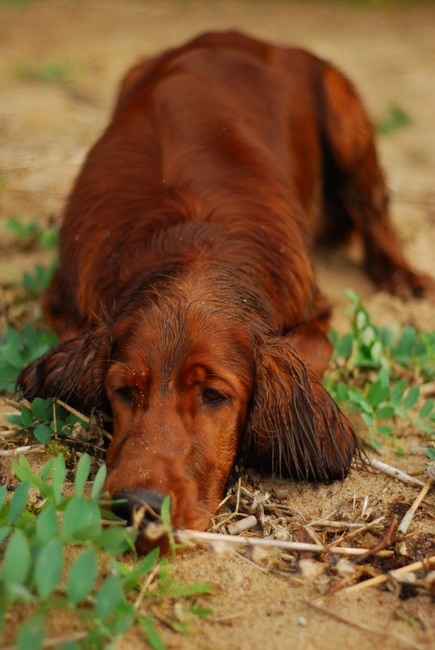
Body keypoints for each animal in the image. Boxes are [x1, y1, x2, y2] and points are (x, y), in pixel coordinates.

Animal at [17, 31, 432, 552]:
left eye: (214, 395)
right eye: (123, 390)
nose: (138, 508)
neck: (194, 243)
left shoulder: (313, 312)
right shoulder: (64, 300)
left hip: (343, 108)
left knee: (374, 210)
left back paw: (403, 276)